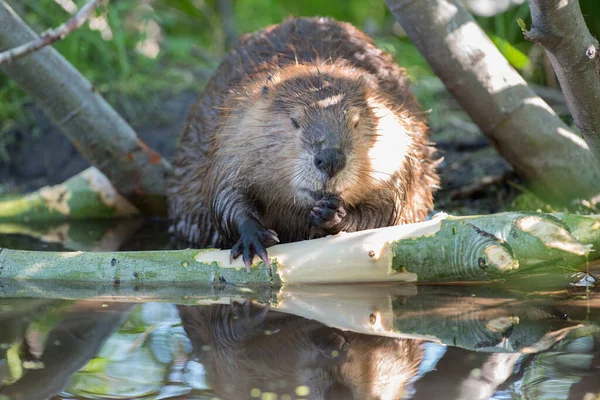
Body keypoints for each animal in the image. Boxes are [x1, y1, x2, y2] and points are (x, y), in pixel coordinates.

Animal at [166, 17, 438, 270]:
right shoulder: (232, 134)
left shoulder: (402, 147)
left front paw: (331, 213)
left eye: (356, 121)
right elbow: (224, 195)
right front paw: (253, 237)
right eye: (294, 121)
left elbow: (387, 211)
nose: (330, 159)